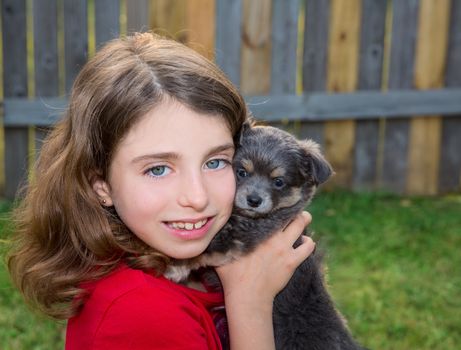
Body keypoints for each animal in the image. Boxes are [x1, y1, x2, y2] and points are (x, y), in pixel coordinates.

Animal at [165, 124, 362, 348]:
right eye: (241, 172)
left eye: (278, 182)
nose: (253, 200)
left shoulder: (244, 234)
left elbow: (208, 244)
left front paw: (174, 266)